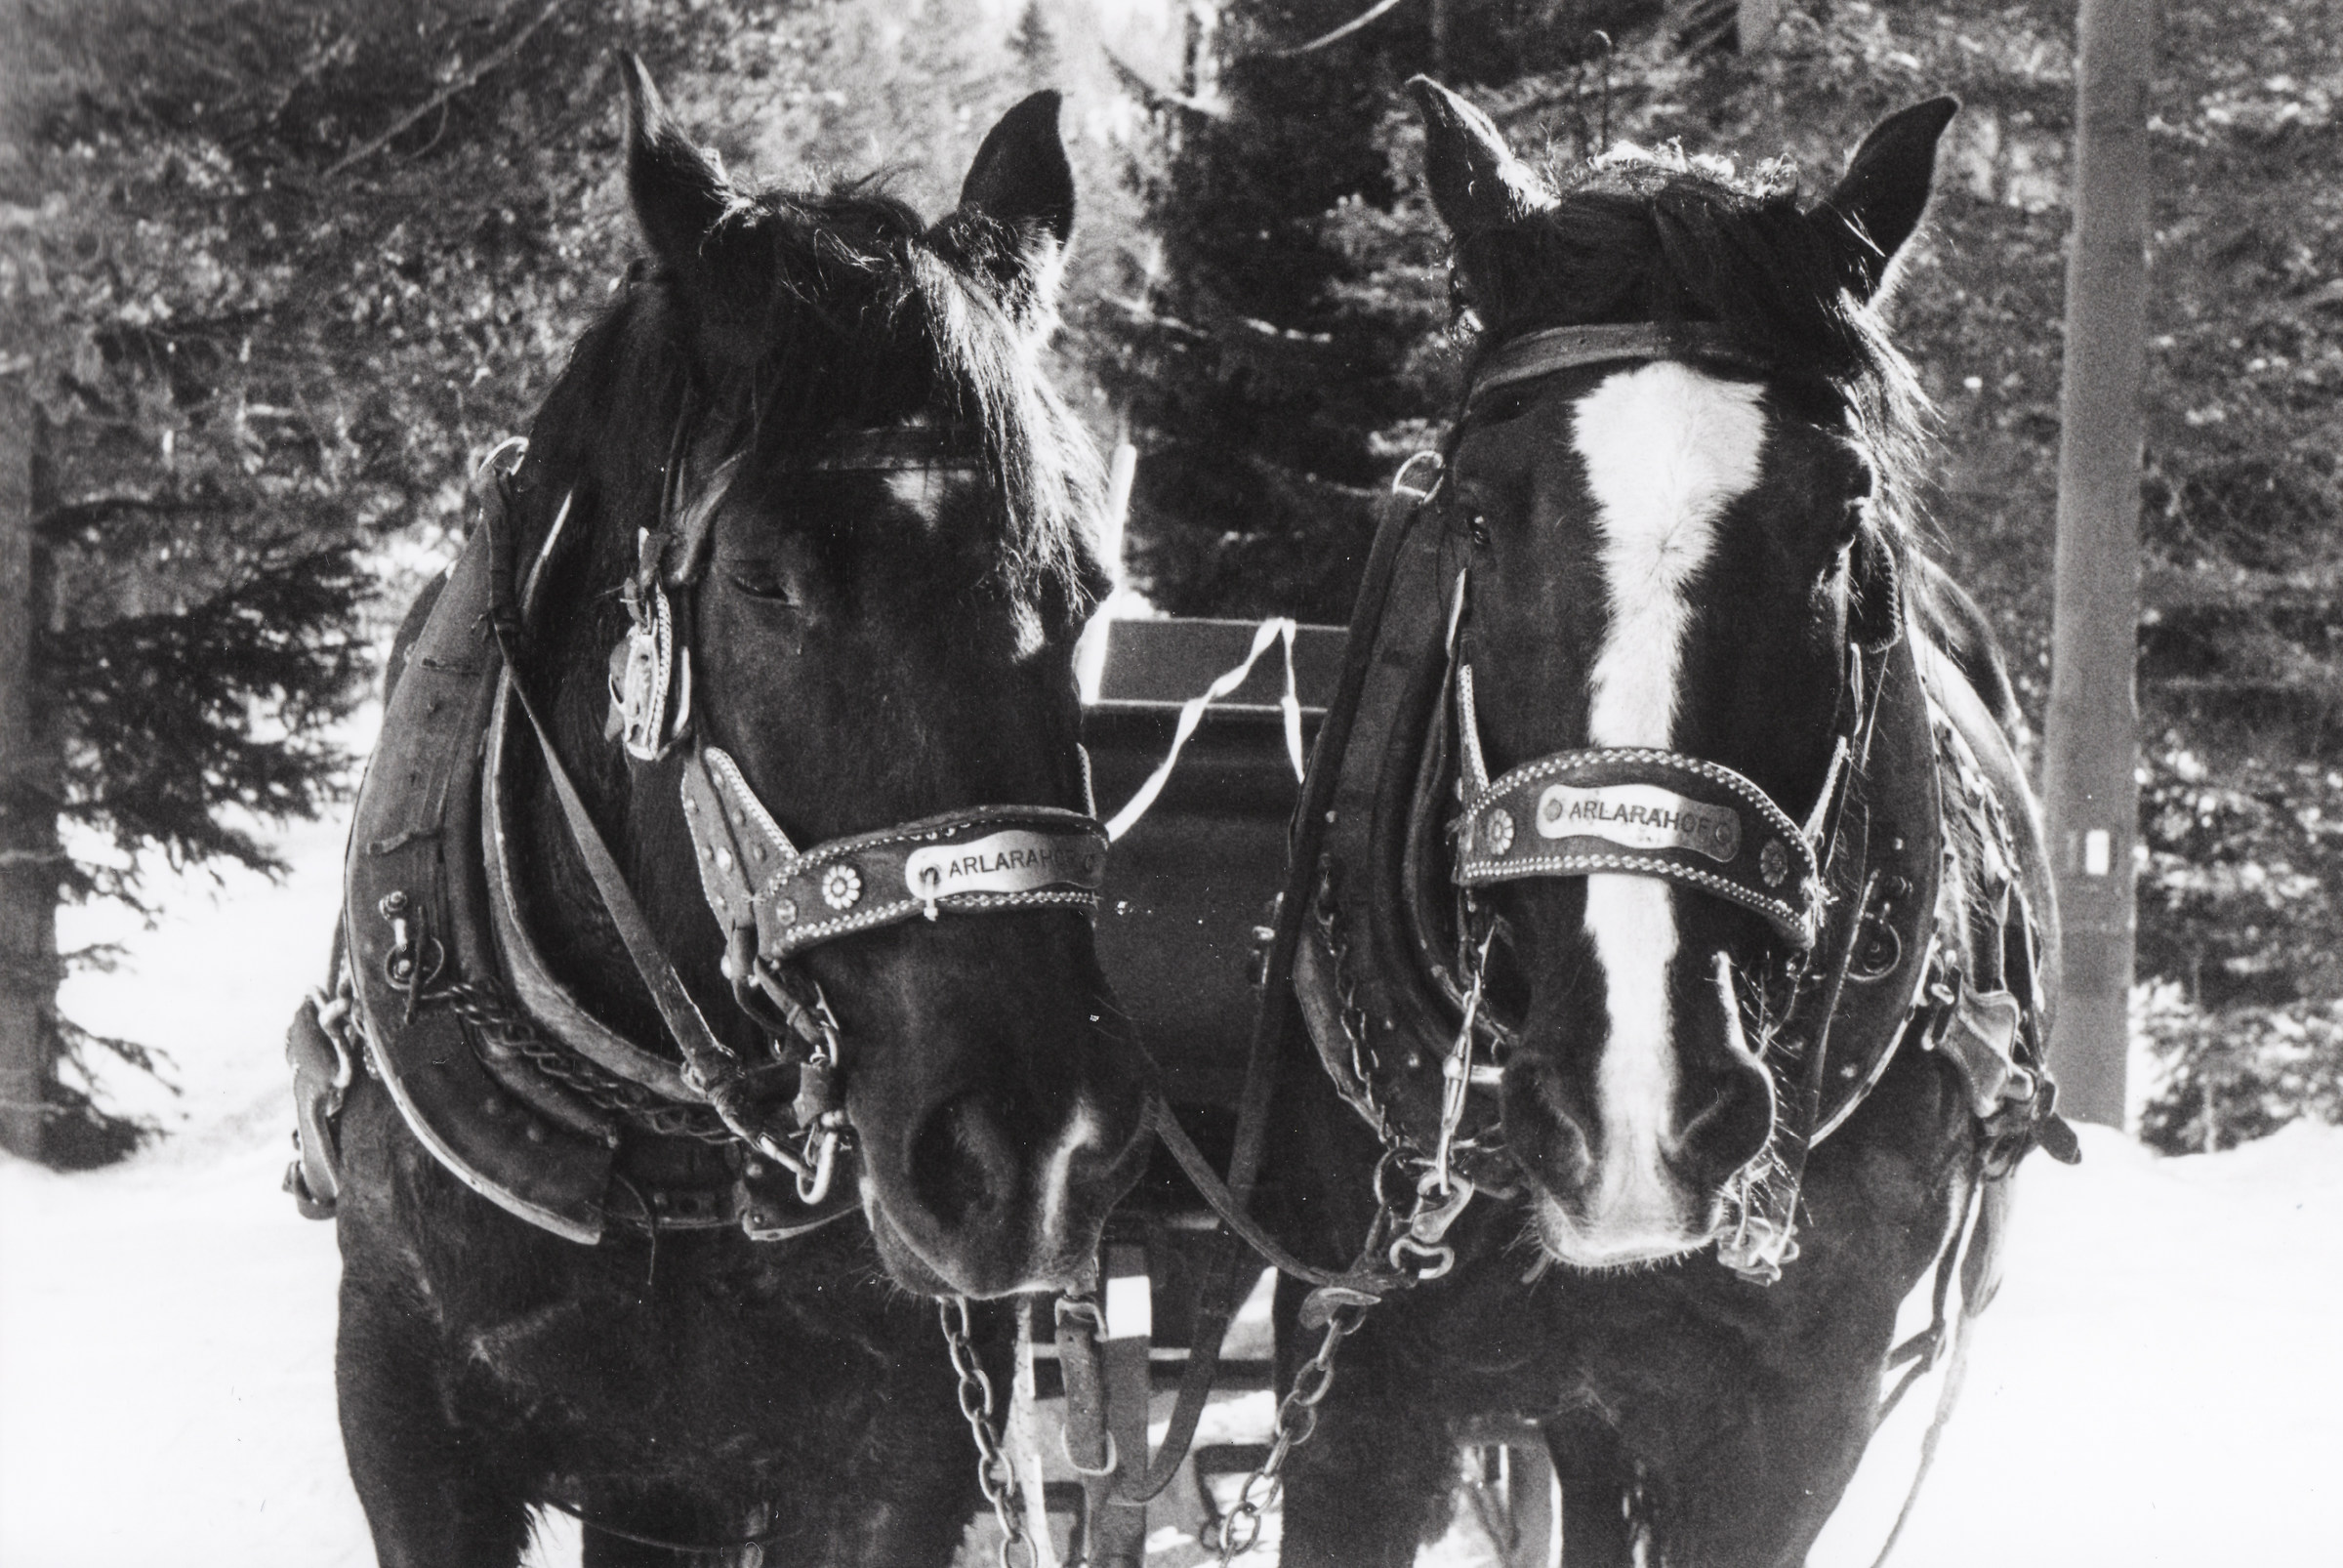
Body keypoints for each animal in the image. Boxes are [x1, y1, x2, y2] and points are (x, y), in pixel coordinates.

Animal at [307, 58, 1151, 1565]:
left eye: (1087, 583)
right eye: (766, 577)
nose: (1035, 1147)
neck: (664, 1129)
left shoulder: (914, 1459)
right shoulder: (404, 1418)